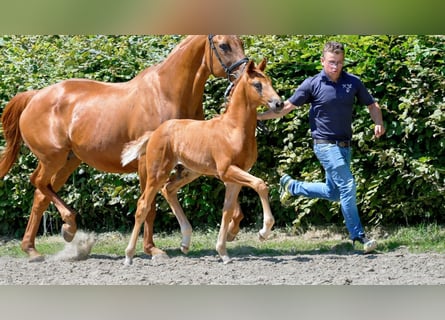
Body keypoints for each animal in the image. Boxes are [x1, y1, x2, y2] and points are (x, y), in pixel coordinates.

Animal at [0, 35, 246, 262]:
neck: (166, 94)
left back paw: (33, 249)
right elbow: (149, 206)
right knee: (39, 183)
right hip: (53, 158)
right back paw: (68, 226)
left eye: (241, 42)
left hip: (68, 161)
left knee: (41, 195)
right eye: (223, 45)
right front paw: (152, 249)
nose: (245, 74)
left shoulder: (197, 160)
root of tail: (34, 96)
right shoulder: (148, 163)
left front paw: (231, 231)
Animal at [119, 58, 282, 264]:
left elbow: (227, 211)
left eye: (270, 81)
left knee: (168, 189)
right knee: (143, 205)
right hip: (157, 173)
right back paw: (129, 255)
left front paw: (223, 252)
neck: (233, 129)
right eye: (257, 85)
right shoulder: (227, 171)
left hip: (190, 172)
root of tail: (155, 132)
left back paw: (185, 242)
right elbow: (261, 184)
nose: (278, 103)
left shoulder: (234, 178)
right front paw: (264, 232)